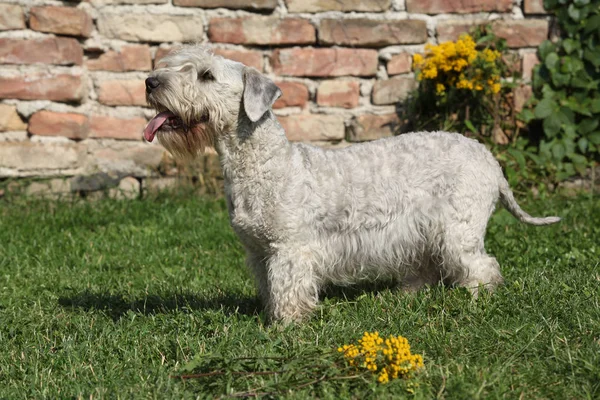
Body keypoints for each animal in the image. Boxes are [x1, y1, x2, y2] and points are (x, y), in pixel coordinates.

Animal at [143, 46, 560, 322]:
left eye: (206, 75)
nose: (150, 82)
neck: (261, 163)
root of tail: (490, 160)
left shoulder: (290, 248)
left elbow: (289, 287)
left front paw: (287, 326)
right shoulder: (259, 251)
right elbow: (269, 286)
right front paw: (271, 316)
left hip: (460, 229)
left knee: (482, 266)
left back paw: (478, 301)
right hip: (427, 230)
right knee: (430, 263)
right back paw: (408, 294)